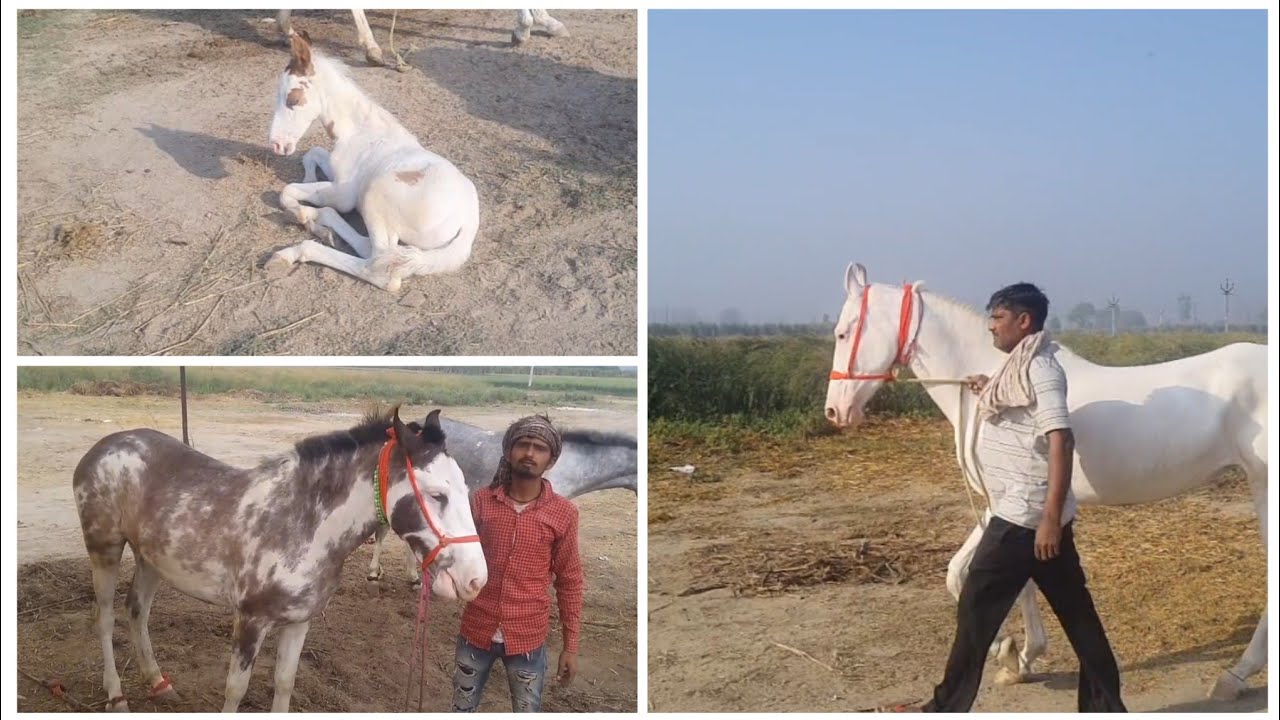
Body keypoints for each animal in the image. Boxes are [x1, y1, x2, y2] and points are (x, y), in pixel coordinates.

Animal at [73, 407, 487, 712]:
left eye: (466, 488)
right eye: (436, 495)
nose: (476, 580)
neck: (302, 526)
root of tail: (102, 447)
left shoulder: (299, 621)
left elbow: (284, 682)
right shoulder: (250, 621)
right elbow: (235, 689)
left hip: (150, 559)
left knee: (137, 611)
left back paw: (158, 682)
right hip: (105, 549)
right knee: (104, 619)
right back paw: (116, 695)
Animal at [265, 29, 480, 293]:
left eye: (292, 99)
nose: (276, 145)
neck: (360, 131)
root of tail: (468, 222)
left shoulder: (343, 195)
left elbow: (287, 190)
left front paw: (299, 214)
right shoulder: (337, 173)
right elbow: (312, 153)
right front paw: (307, 193)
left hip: (374, 196)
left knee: (379, 268)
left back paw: (292, 249)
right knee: (368, 246)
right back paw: (318, 222)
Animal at [823, 262, 1267, 701]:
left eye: (842, 332)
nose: (834, 411)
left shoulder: (1007, 504)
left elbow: (999, 579)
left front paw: (1009, 652)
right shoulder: (1003, 506)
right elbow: (967, 573)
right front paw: (1020, 657)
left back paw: (1235, 675)